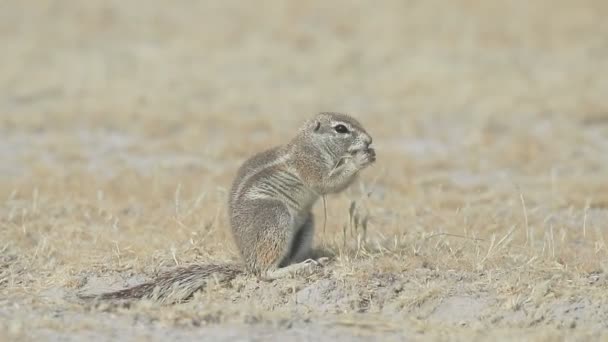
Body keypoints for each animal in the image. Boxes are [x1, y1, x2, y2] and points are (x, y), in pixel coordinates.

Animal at [81, 113, 376, 304]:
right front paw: (360, 158)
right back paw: (295, 269)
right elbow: (328, 183)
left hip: (306, 224)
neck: (310, 143)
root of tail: (246, 262)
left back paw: (311, 262)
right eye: (341, 129)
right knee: (264, 273)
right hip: (274, 217)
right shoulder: (310, 164)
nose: (369, 140)